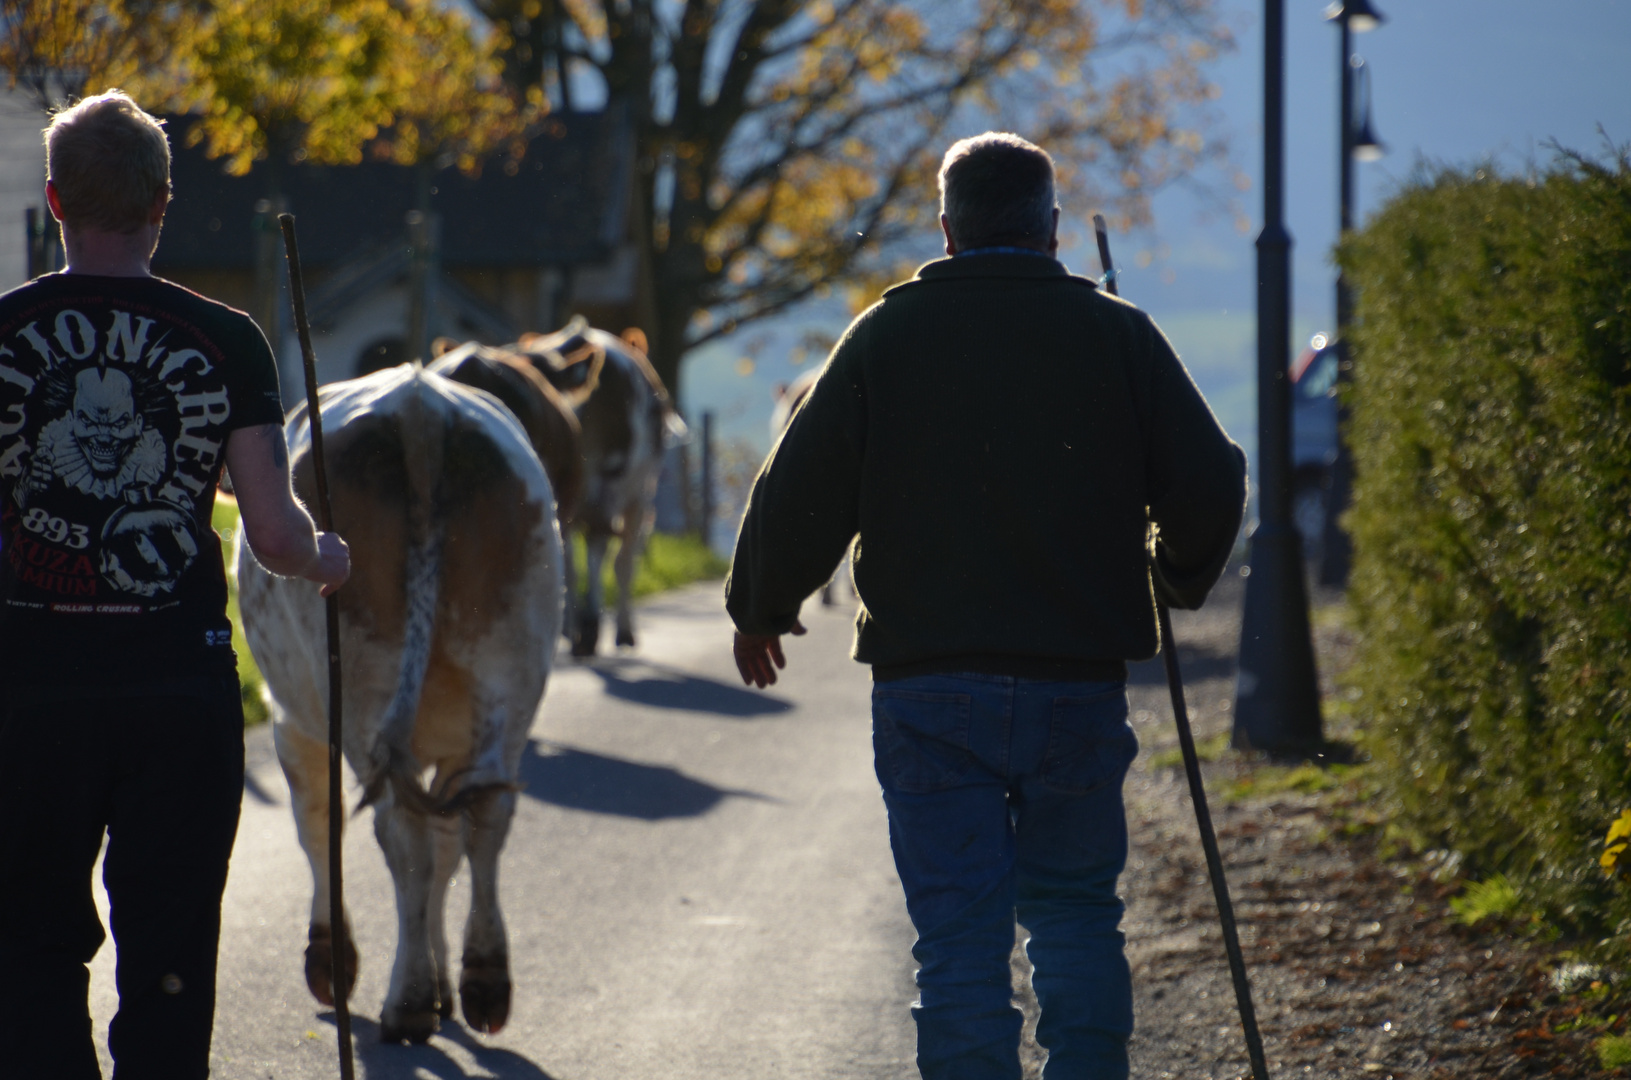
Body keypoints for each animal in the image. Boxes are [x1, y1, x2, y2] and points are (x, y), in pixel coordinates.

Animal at [236, 365, 564, 1050]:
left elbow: (319, 826)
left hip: (360, 682)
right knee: (485, 814)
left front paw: (331, 959)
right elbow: (446, 852)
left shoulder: (290, 724)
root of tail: (420, 409)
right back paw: (483, 979)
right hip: (508, 668)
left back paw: (407, 1002)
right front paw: (444, 984)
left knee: (398, 829)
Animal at [515, 319, 681, 659]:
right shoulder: (640, 495)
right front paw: (623, 631)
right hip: (614, 478)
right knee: (600, 543)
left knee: (569, 547)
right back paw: (590, 628)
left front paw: (571, 627)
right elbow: (624, 562)